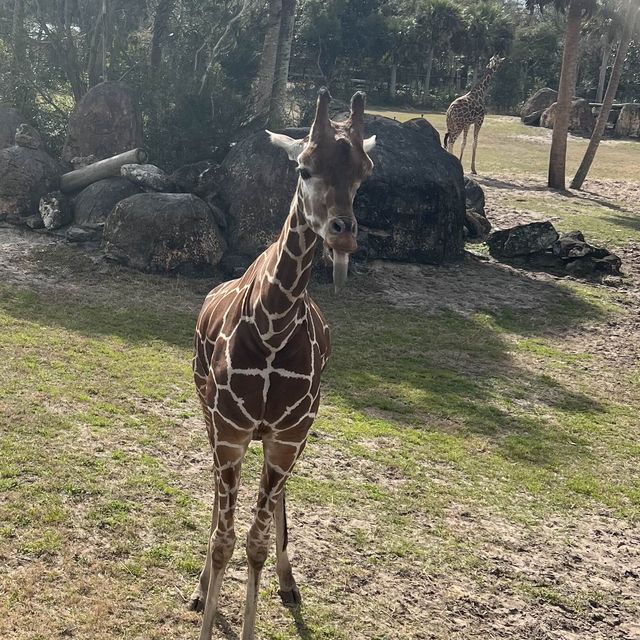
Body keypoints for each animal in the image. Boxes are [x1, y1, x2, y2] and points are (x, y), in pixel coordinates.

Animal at [188, 86, 376, 640]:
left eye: (364, 173)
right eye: (303, 168)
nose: (343, 232)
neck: (273, 328)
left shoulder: (287, 437)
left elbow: (254, 539)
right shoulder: (229, 432)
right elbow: (224, 538)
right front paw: (205, 601)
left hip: (289, 438)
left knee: (275, 505)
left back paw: (288, 581)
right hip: (210, 417)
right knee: (219, 507)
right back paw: (200, 588)